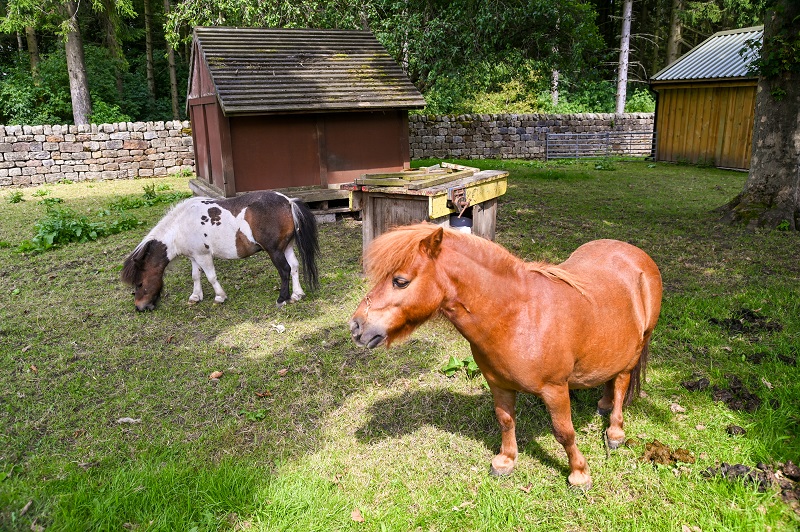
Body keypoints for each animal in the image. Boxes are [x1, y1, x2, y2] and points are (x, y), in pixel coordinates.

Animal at [120, 190, 318, 312]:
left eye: (139, 284)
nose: (139, 307)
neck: (180, 226)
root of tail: (288, 202)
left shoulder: (204, 256)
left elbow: (211, 277)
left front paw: (220, 297)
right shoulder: (194, 257)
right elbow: (195, 276)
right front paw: (196, 296)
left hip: (274, 250)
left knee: (285, 270)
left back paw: (282, 298)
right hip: (287, 247)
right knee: (294, 266)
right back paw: (297, 294)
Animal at [350, 222, 664, 488]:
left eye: (400, 281)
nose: (356, 326)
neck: (516, 316)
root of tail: (636, 254)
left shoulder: (555, 389)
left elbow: (564, 432)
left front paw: (579, 473)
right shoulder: (498, 383)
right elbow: (505, 420)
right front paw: (506, 461)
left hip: (636, 349)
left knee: (622, 383)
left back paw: (615, 431)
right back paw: (604, 403)